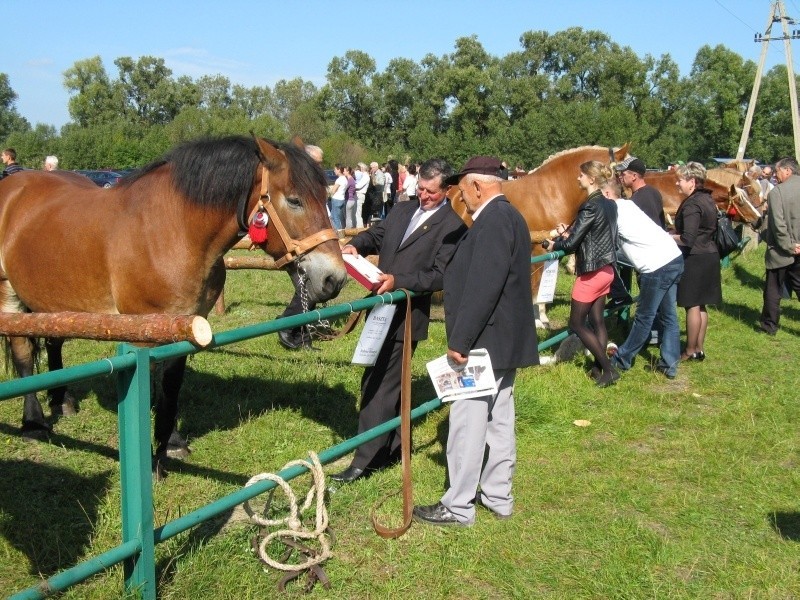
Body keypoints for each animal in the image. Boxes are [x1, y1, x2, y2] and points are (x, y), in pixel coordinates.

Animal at [0, 135, 346, 464]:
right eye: (294, 200)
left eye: (326, 197)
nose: (334, 278)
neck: (172, 231)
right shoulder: (140, 334)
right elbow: (153, 385)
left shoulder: (186, 326)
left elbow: (171, 385)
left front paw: (173, 442)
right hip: (10, 294)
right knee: (22, 354)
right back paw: (33, 423)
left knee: (53, 341)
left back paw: (61, 400)